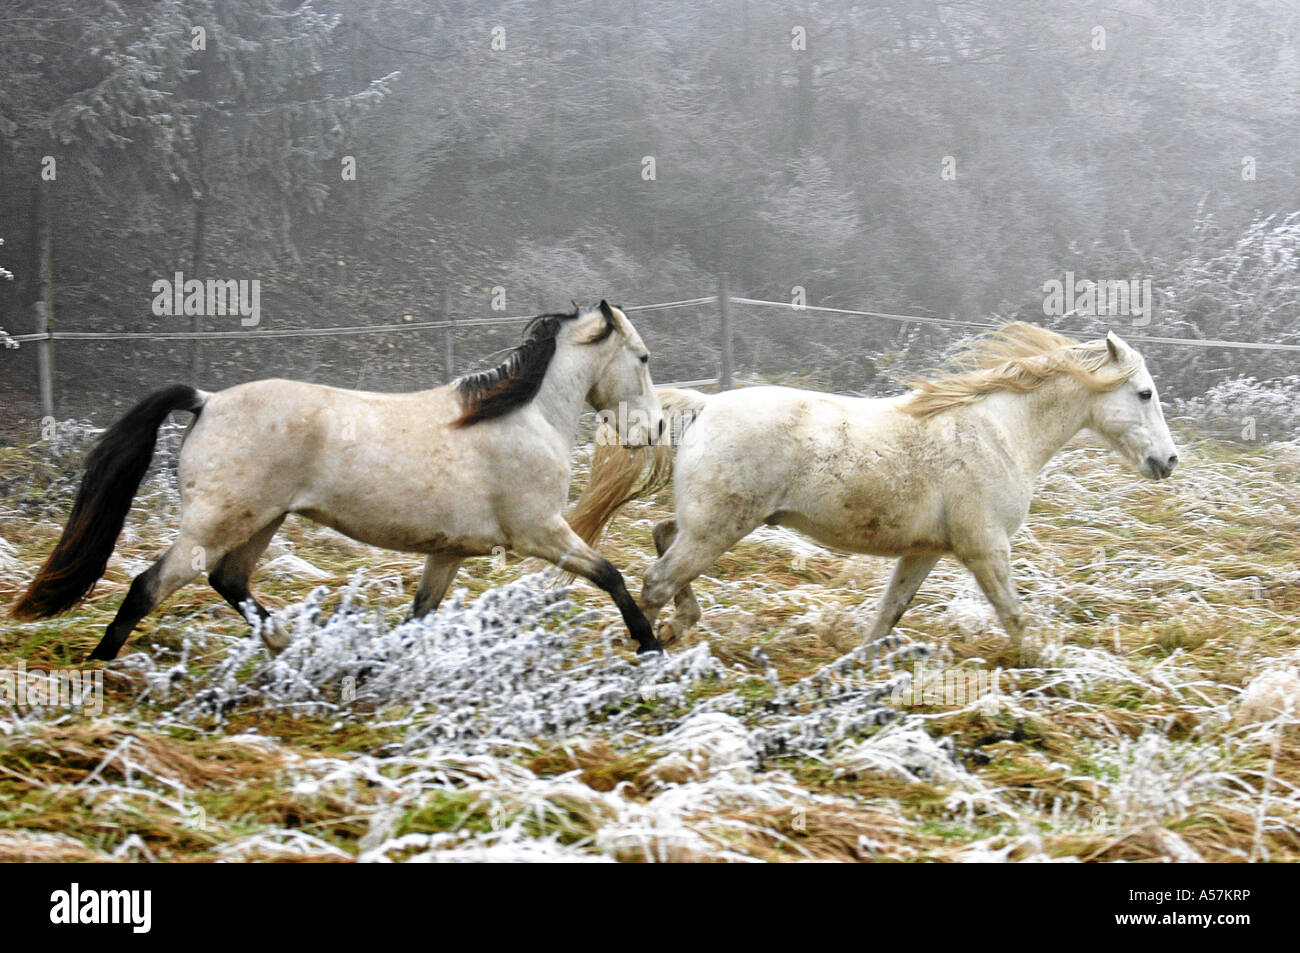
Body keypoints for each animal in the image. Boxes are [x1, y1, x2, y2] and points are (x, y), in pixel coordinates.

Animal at [15, 301, 670, 657]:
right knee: (147, 587)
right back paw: (98, 671)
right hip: (215, 523)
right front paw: (651, 644)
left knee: (229, 581)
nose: (658, 426)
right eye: (642, 358)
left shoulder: (449, 552)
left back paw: (287, 648)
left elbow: (418, 615)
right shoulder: (540, 532)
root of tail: (207, 401)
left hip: (262, 521)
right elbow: (610, 575)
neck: (523, 416)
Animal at [569, 323, 1180, 657]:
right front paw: (1045, 667)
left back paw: (681, 624)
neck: (999, 430)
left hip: (713, 520)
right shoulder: (986, 548)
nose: (1168, 461)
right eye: (1145, 393)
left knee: (661, 534)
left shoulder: (925, 552)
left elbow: (889, 614)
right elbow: (1013, 615)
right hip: (721, 526)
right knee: (657, 578)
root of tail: (706, 406)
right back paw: (655, 644)